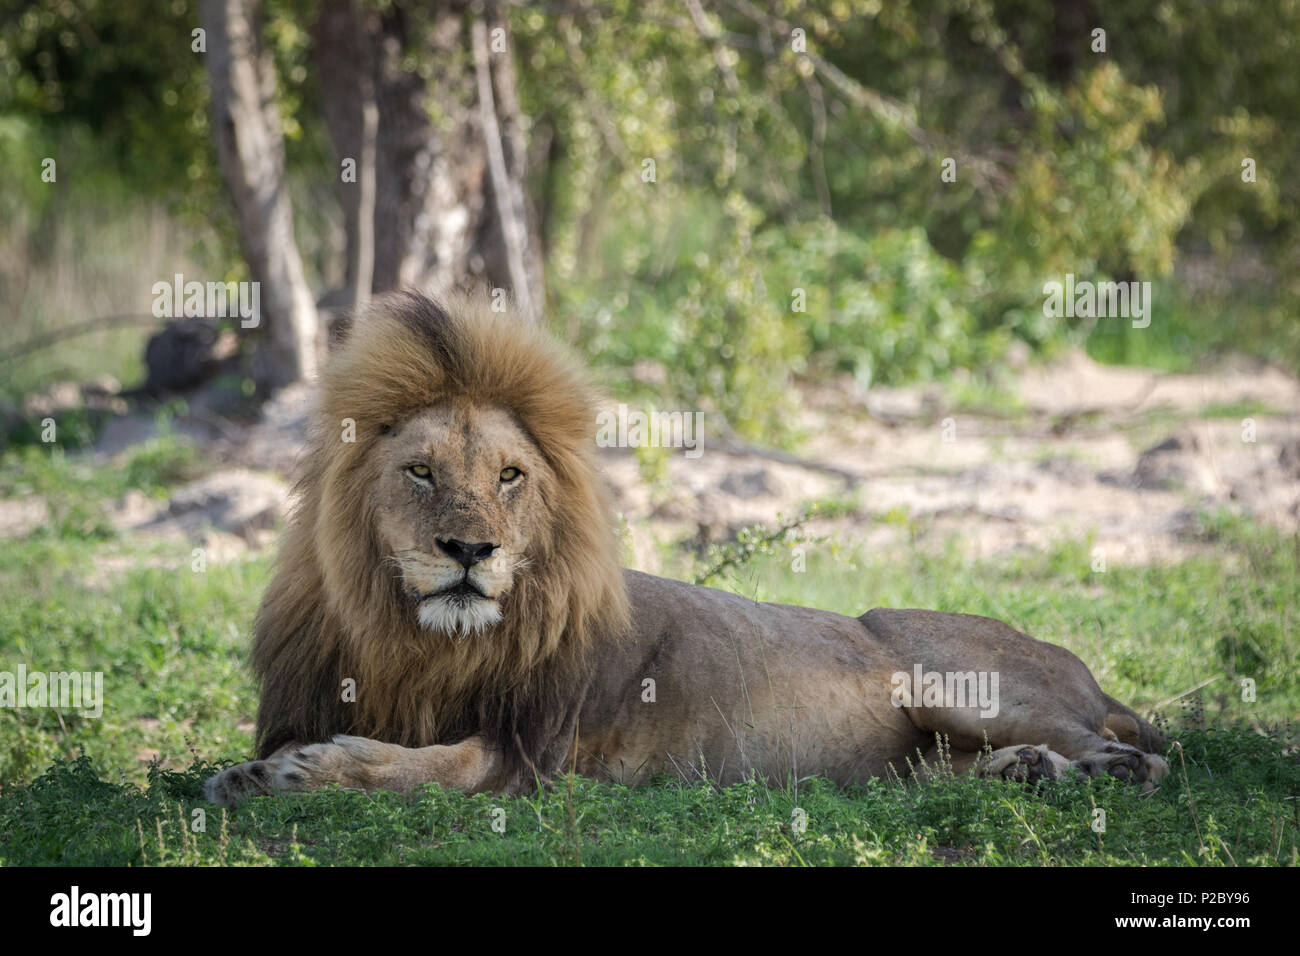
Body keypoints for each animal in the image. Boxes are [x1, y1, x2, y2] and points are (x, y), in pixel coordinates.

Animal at [202, 291, 1170, 806]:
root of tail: (1087, 672)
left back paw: (1087, 764)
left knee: (1148, 756)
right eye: (419, 472)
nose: (470, 550)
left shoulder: (529, 754)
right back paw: (1027, 772)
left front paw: (309, 771)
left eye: (510, 476)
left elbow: (428, 766)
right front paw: (243, 775)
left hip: (960, 678)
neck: (421, 642)